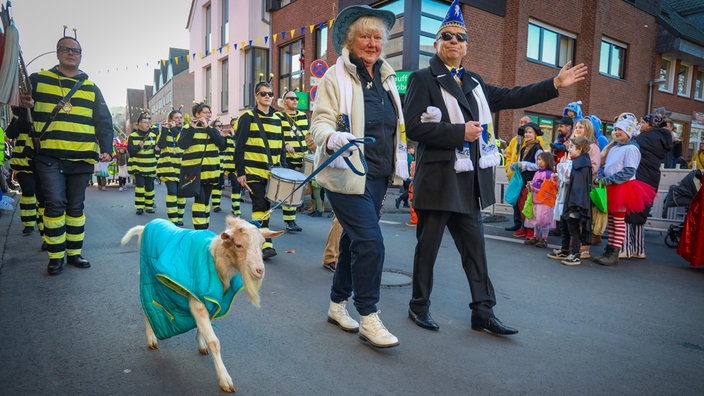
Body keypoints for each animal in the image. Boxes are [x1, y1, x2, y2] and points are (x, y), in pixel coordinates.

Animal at [121, 217, 284, 392]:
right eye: (239, 245)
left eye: (262, 244)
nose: (260, 270)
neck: (215, 259)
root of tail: (147, 226)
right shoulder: (197, 302)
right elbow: (214, 341)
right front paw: (225, 380)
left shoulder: (211, 301)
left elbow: (204, 327)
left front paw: (201, 343)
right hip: (147, 275)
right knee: (147, 304)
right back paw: (151, 339)